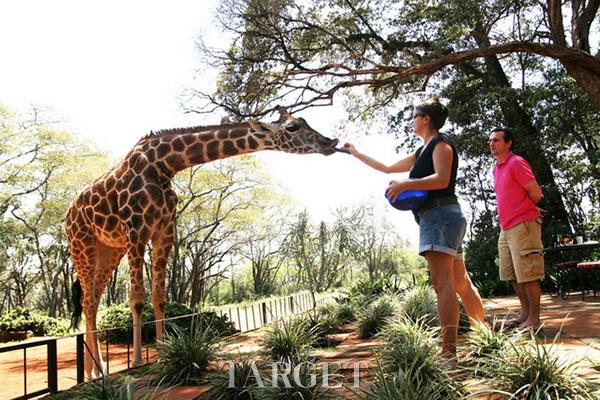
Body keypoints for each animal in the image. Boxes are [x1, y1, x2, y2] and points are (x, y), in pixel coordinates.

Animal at [65, 106, 340, 378]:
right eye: (293, 127)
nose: (330, 142)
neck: (163, 165)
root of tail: (67, 215)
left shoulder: (164, 231)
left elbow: (160, 297)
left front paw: (163, 352)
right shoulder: (136, 230)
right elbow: (138, 299)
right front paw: (137, 361)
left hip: (110, 249)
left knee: (93, 300)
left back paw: (93, 370)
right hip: (82, 244)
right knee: (87, 301)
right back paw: (96, 371)